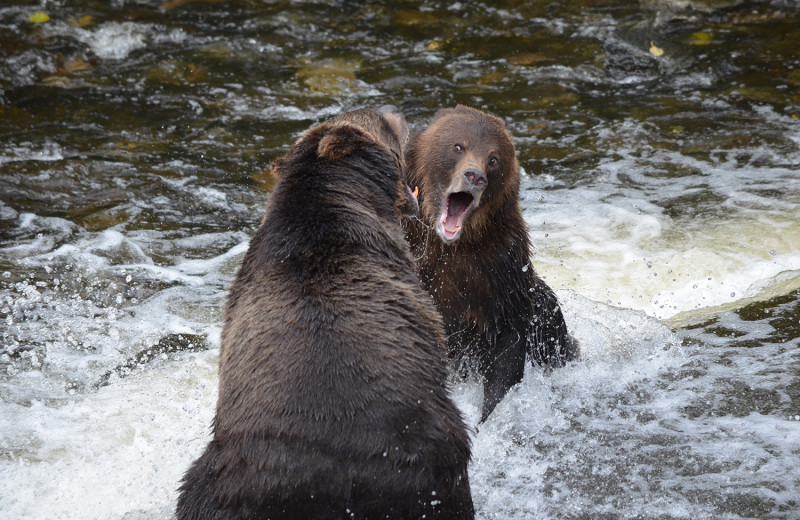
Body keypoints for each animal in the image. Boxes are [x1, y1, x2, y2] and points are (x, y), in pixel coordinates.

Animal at [404, 104, 580, 422]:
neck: (452, 245)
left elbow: (506, 347)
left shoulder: (502, 267)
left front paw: (486, 417)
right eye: (458, 146)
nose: (475, 176)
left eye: (494, 159)